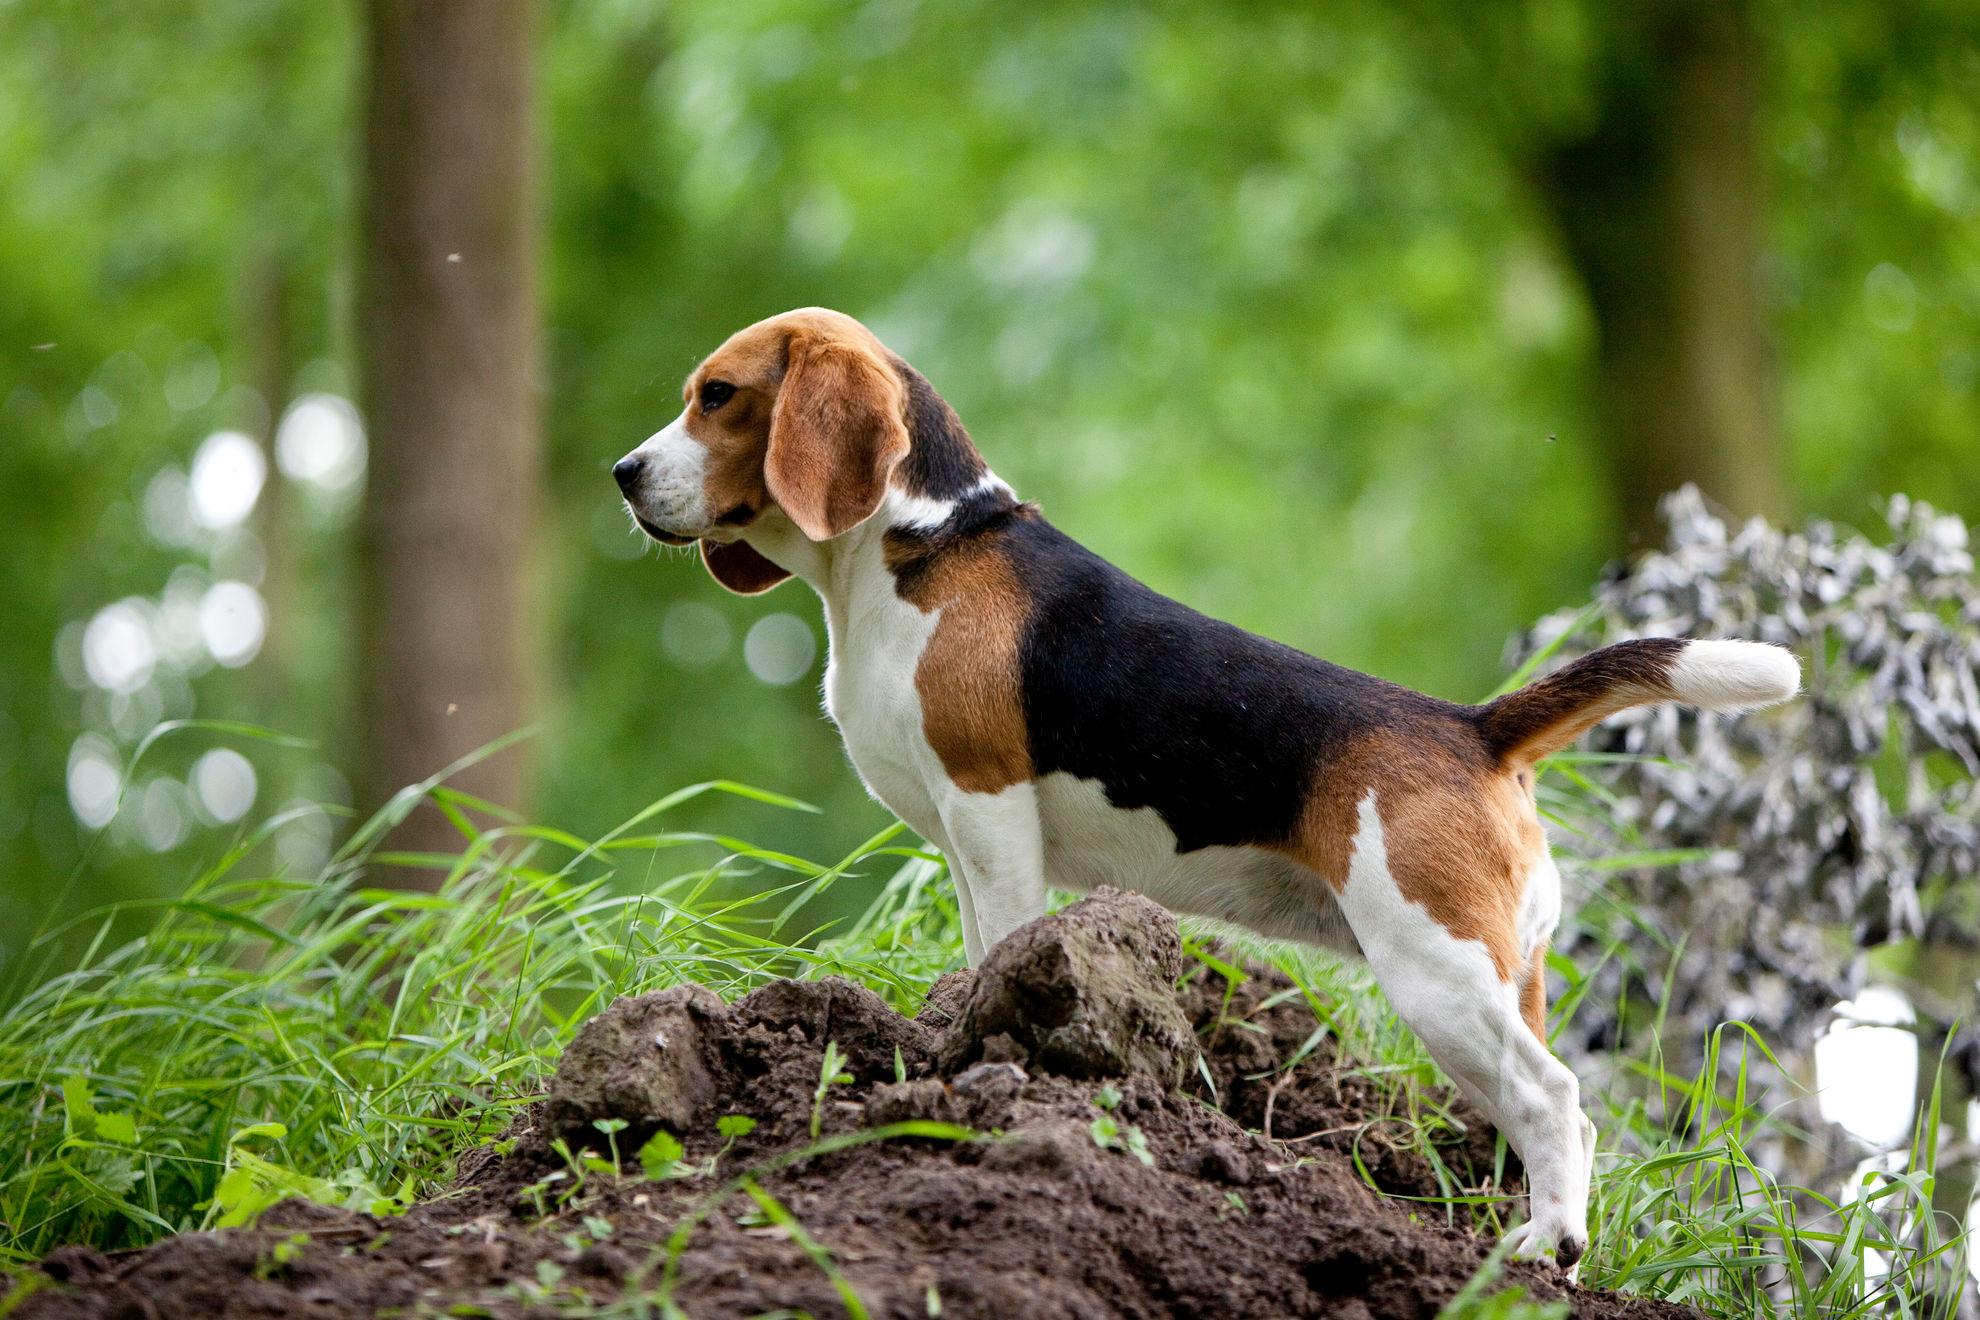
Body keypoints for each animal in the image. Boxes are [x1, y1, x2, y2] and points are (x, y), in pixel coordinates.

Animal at [609, 306, 1805, 1266]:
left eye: (718, 396)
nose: (622, 474)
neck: (923, 544)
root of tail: (1474, 727)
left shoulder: (990, 816)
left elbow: (1001, 950)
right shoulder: (962, 844)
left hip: (1435, 971)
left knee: (1558, 1101)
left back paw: (1542, 1248)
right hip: (1501, 979)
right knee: (1535, 1105)